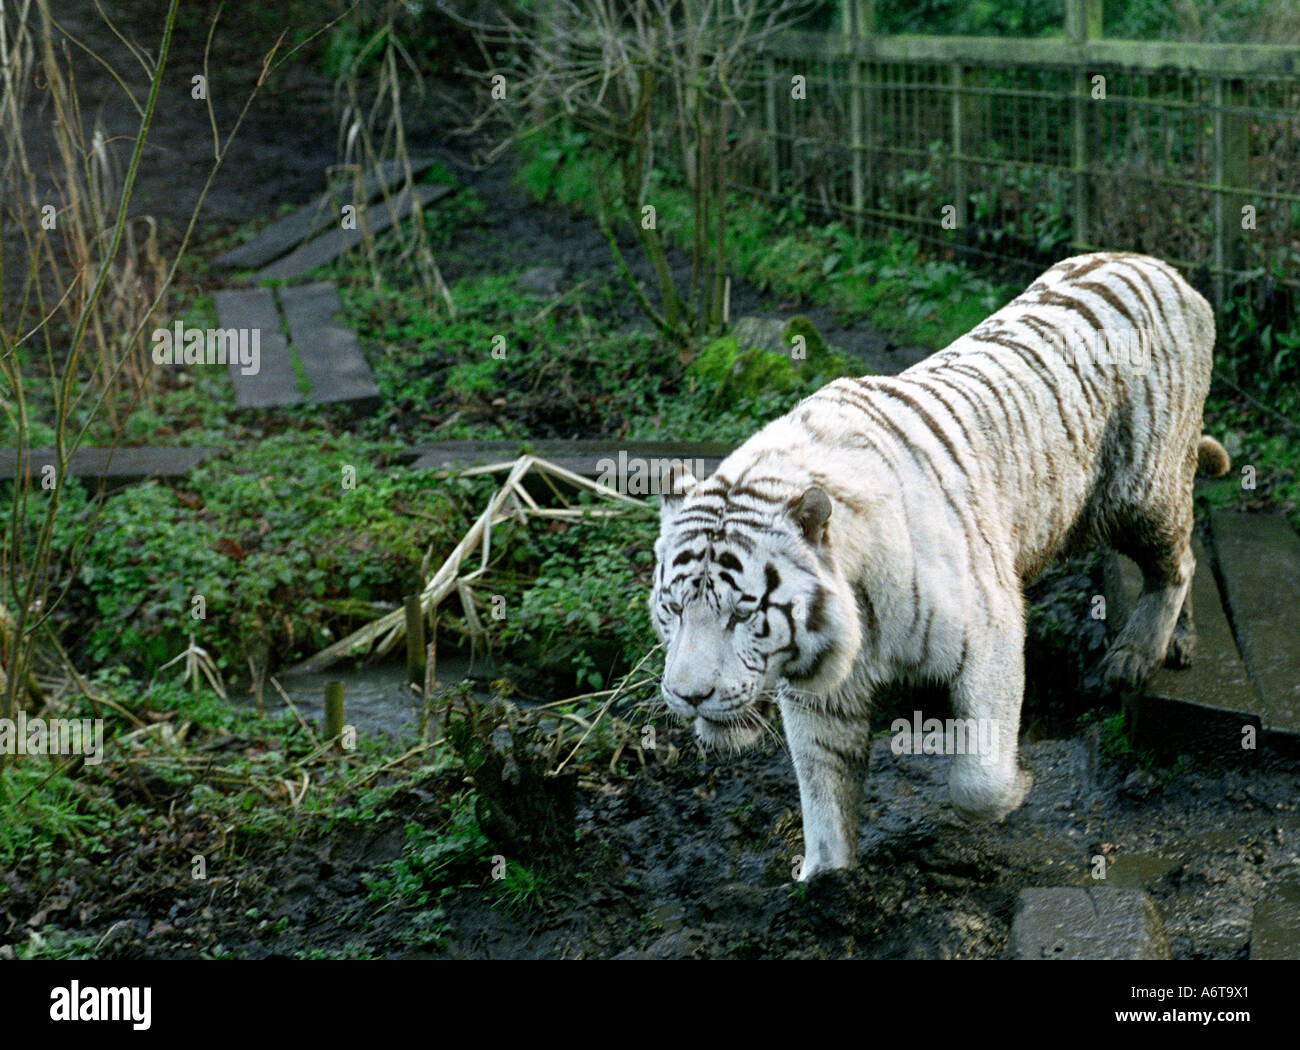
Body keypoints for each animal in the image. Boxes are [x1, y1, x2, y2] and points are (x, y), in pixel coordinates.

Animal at [649, 251, 1230, 881]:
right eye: (673, 609)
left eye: (742, 614)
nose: (687, 696)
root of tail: (1159, 266)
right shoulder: (820, 692)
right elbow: (824, 790)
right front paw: (826, 880)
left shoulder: (991, 629)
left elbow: (979, 777)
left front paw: (1018, 787)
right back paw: (1178, 644)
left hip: (1137, 488)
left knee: (1179, 558)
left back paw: (1137, 655)